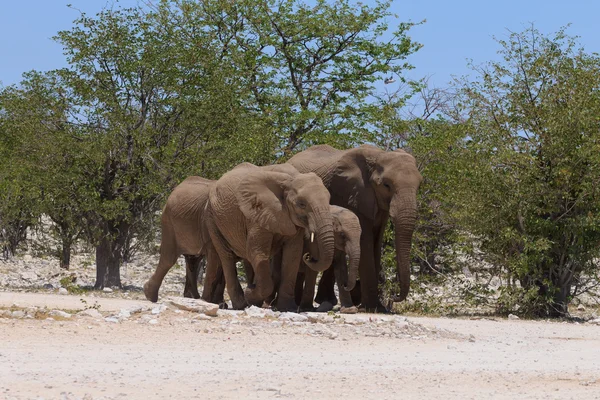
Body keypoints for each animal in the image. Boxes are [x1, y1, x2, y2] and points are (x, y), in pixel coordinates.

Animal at [206, 161, 338, 310]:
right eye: (301, 204)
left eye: (329, 200)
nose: (309, 256)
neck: (291, 178)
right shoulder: (257, 213)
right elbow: (257, 252)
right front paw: (250, 293)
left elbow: (293, 254)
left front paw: (286, 308)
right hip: (212, 217)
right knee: (226, 256)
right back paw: (241, 304)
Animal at [286, 144, 422, 312]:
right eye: (386, 185)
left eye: (419, 185)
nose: (394, 297)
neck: (379, 156)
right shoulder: (352, 194)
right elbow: (366, 242)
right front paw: (372, 308)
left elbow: (377, 242)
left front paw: (378, 308)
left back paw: (326, 300)